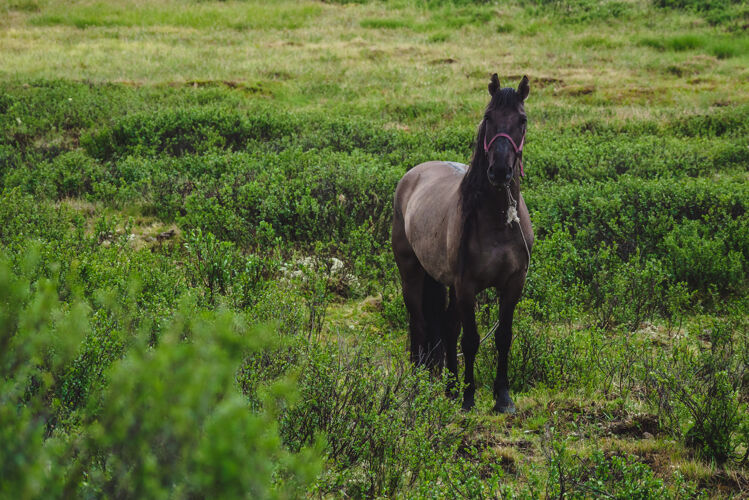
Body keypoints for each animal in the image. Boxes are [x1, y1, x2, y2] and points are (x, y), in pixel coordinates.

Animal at [392, 72, 532, 412]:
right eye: (488, 117)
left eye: (522, 120)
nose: (499, 171)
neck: (498, 219)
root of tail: (413, 175)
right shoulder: (467, 285)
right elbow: (470, 340)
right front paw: (469, 398)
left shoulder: (513, 284)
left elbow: (502, 337)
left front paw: (502, 397)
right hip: (412, 272)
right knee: (420, 323)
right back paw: (421, 383)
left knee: (447, 327)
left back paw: (451, 388)